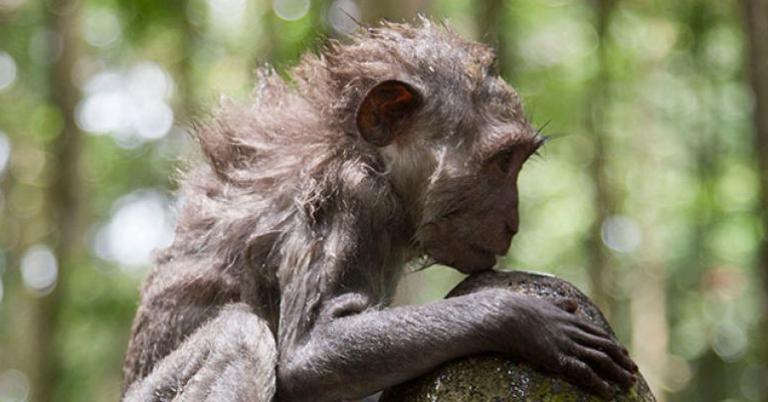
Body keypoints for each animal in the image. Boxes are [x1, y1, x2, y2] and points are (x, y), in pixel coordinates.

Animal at [122, 19, 639, 402]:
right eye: (502, 161)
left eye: (518, 160)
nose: (513, 221)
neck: (366, 154)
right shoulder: (347, 197)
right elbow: (311, 353)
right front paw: (525, 320)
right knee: (239, 337)